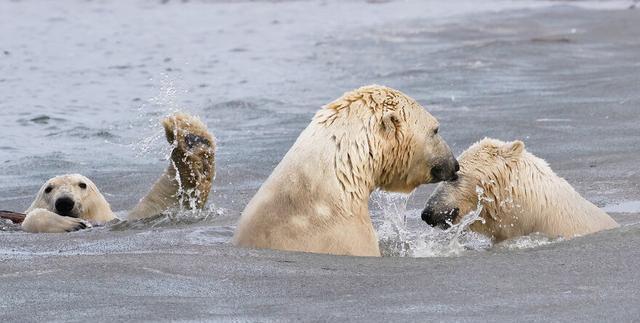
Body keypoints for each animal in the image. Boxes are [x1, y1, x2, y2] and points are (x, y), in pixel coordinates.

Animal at [20, 112, 216, 234]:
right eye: (48, 189)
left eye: (82, 185)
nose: (64, 202)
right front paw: (70, 224)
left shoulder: (119, 220)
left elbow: (164, 201)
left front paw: (191, 139)